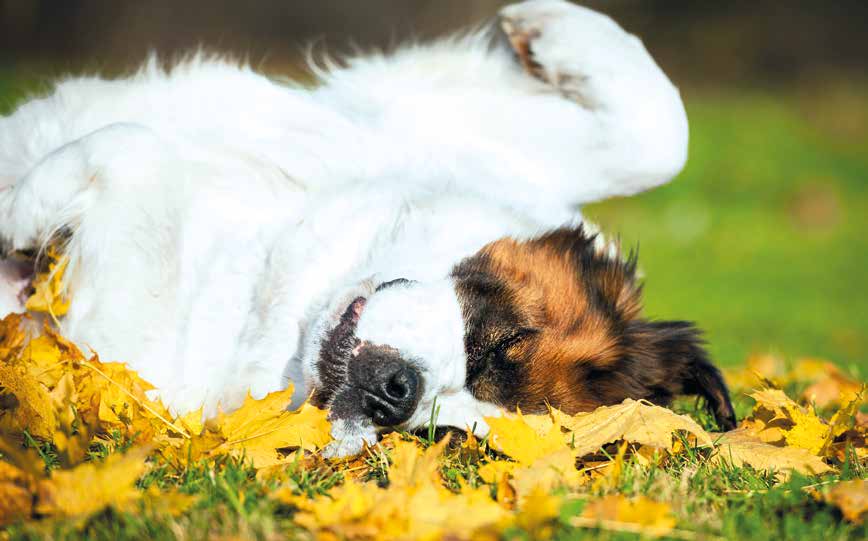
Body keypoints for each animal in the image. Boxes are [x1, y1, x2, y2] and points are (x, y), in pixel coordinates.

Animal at [0, 1, 736, 456]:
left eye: (445, 434)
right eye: (500, 342)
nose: (395, 395)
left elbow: (133, 149)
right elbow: (662, 132)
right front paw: (544, 26)